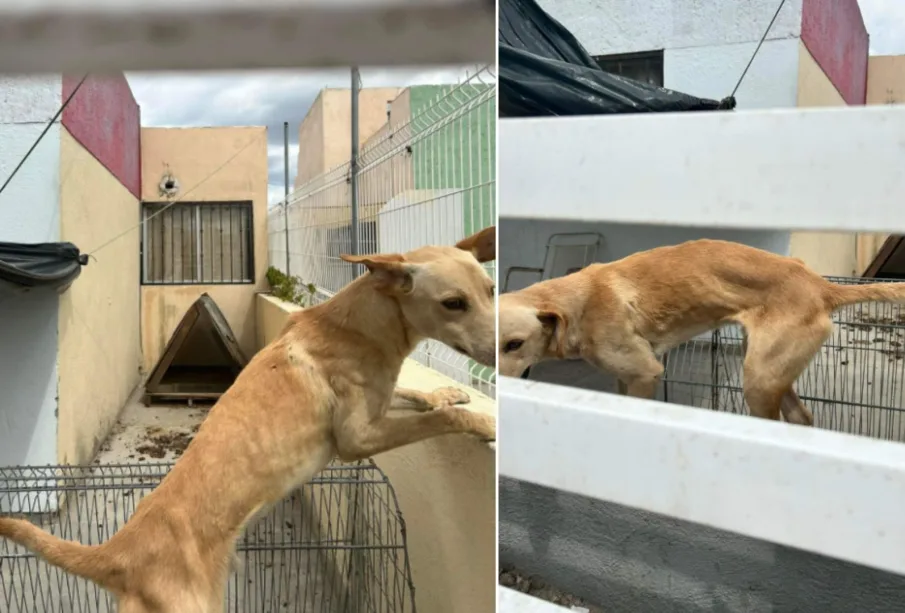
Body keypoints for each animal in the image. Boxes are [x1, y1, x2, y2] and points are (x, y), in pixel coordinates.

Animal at [0, 225, 498, 612]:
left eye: (491, 291)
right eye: (453, 303)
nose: (507, 347)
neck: (358, 324)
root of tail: (119, 553)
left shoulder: (378, 405)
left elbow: (414, 396)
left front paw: (446, 392)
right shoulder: (357, 438)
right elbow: (439, 422)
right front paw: (486, 423)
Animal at [498, 239, 904, 426]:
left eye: (515, 344)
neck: (579, 301)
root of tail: (822, 286)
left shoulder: (645, 373)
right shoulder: (624, 378)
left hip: (759, 382)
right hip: (771, 372)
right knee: (802, 418)